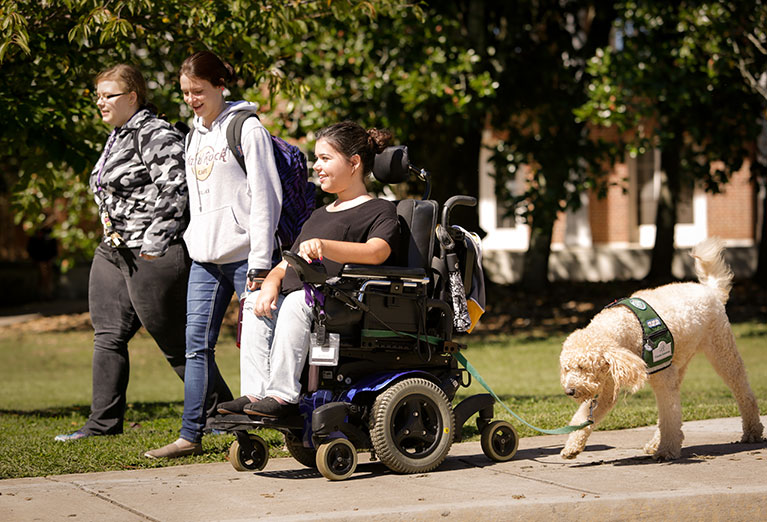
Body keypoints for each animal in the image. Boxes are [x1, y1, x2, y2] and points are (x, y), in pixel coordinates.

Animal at [560, 237, 764, 460]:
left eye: (583, 367)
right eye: (567, 369)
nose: (570, 391)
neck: (625, 327)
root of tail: (710, 290)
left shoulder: (659, 377)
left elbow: (669, 415)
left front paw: (667, 450)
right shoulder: (611, 384)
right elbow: (586, 414)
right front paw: (572, 446)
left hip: (722, 351)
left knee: (742, 391)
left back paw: (752, 431)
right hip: (679, 363)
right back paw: (654, 443)